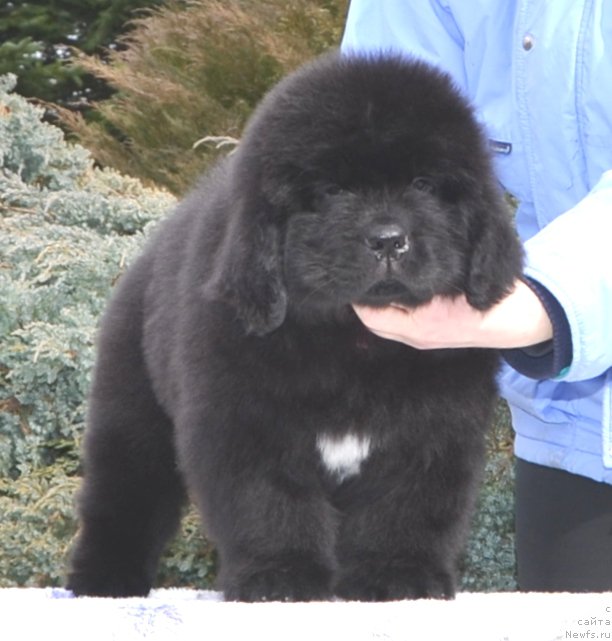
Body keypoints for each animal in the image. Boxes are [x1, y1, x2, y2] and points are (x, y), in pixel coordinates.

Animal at [67, 53, 520, 600]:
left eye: (424, 185)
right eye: (333, 191)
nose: (388, 239)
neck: (353, 341)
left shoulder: (431, 432)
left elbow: (405, 508)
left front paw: (397, 576)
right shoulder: (249, 423)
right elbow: (270, 505)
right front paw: (280, 579)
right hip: (132, 417)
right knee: (123, 497)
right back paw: (103, 578)